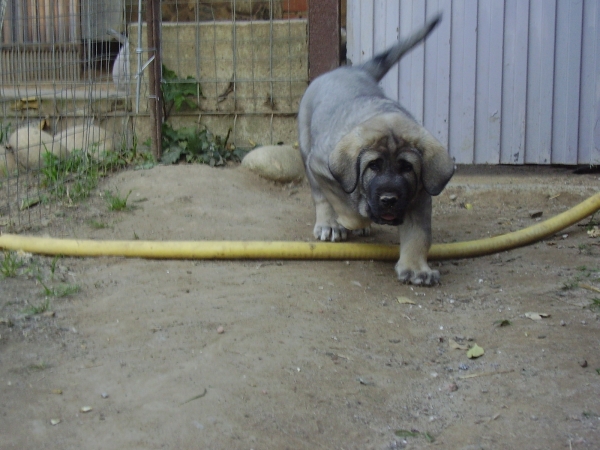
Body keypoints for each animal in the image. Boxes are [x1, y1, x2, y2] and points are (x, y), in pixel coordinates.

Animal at [298, 16, 452, 288]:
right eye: (373, 166)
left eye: (407, 167)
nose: (389, 199)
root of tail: (354, 69)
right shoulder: (321, 166)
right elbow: (346, 205)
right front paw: (350, 219)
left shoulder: (420, 194)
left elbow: (419, 235)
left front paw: (416, 268)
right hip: (307, 150)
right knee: (320, 196)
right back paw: (329, 224)